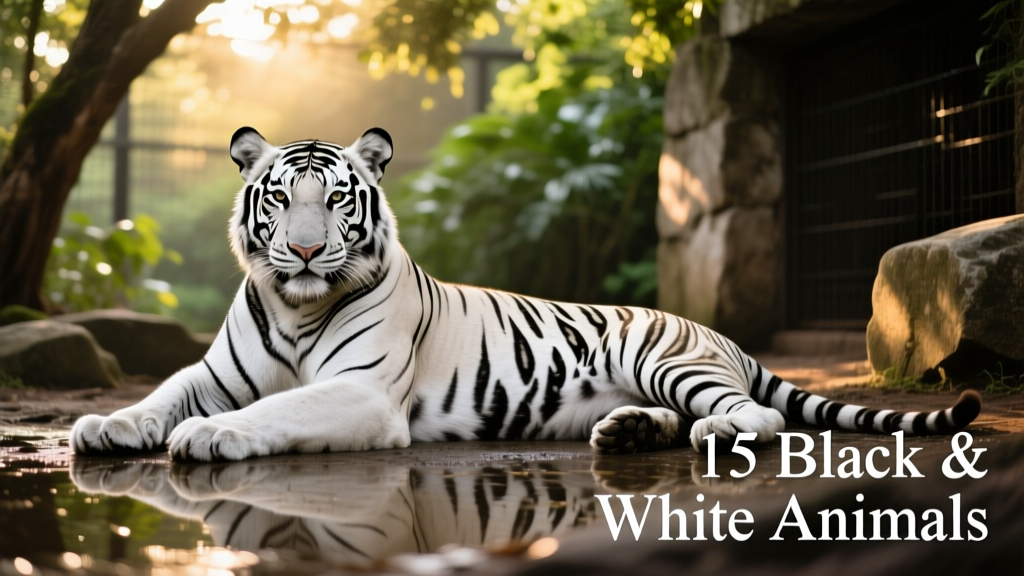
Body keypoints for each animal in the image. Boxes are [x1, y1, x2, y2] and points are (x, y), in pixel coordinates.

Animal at [70, 127, 981, 461]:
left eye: (336, 201)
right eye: (279, 198)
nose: (301, 249)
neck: (297, 306)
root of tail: (716, 332)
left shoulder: (363, 392)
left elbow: (274, 408)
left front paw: (211, 436)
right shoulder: (214, 370)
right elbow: (163, 393)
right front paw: (107, 424)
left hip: (667, 360)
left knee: (758, 413)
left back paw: (714, 431)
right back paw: (626, 433)